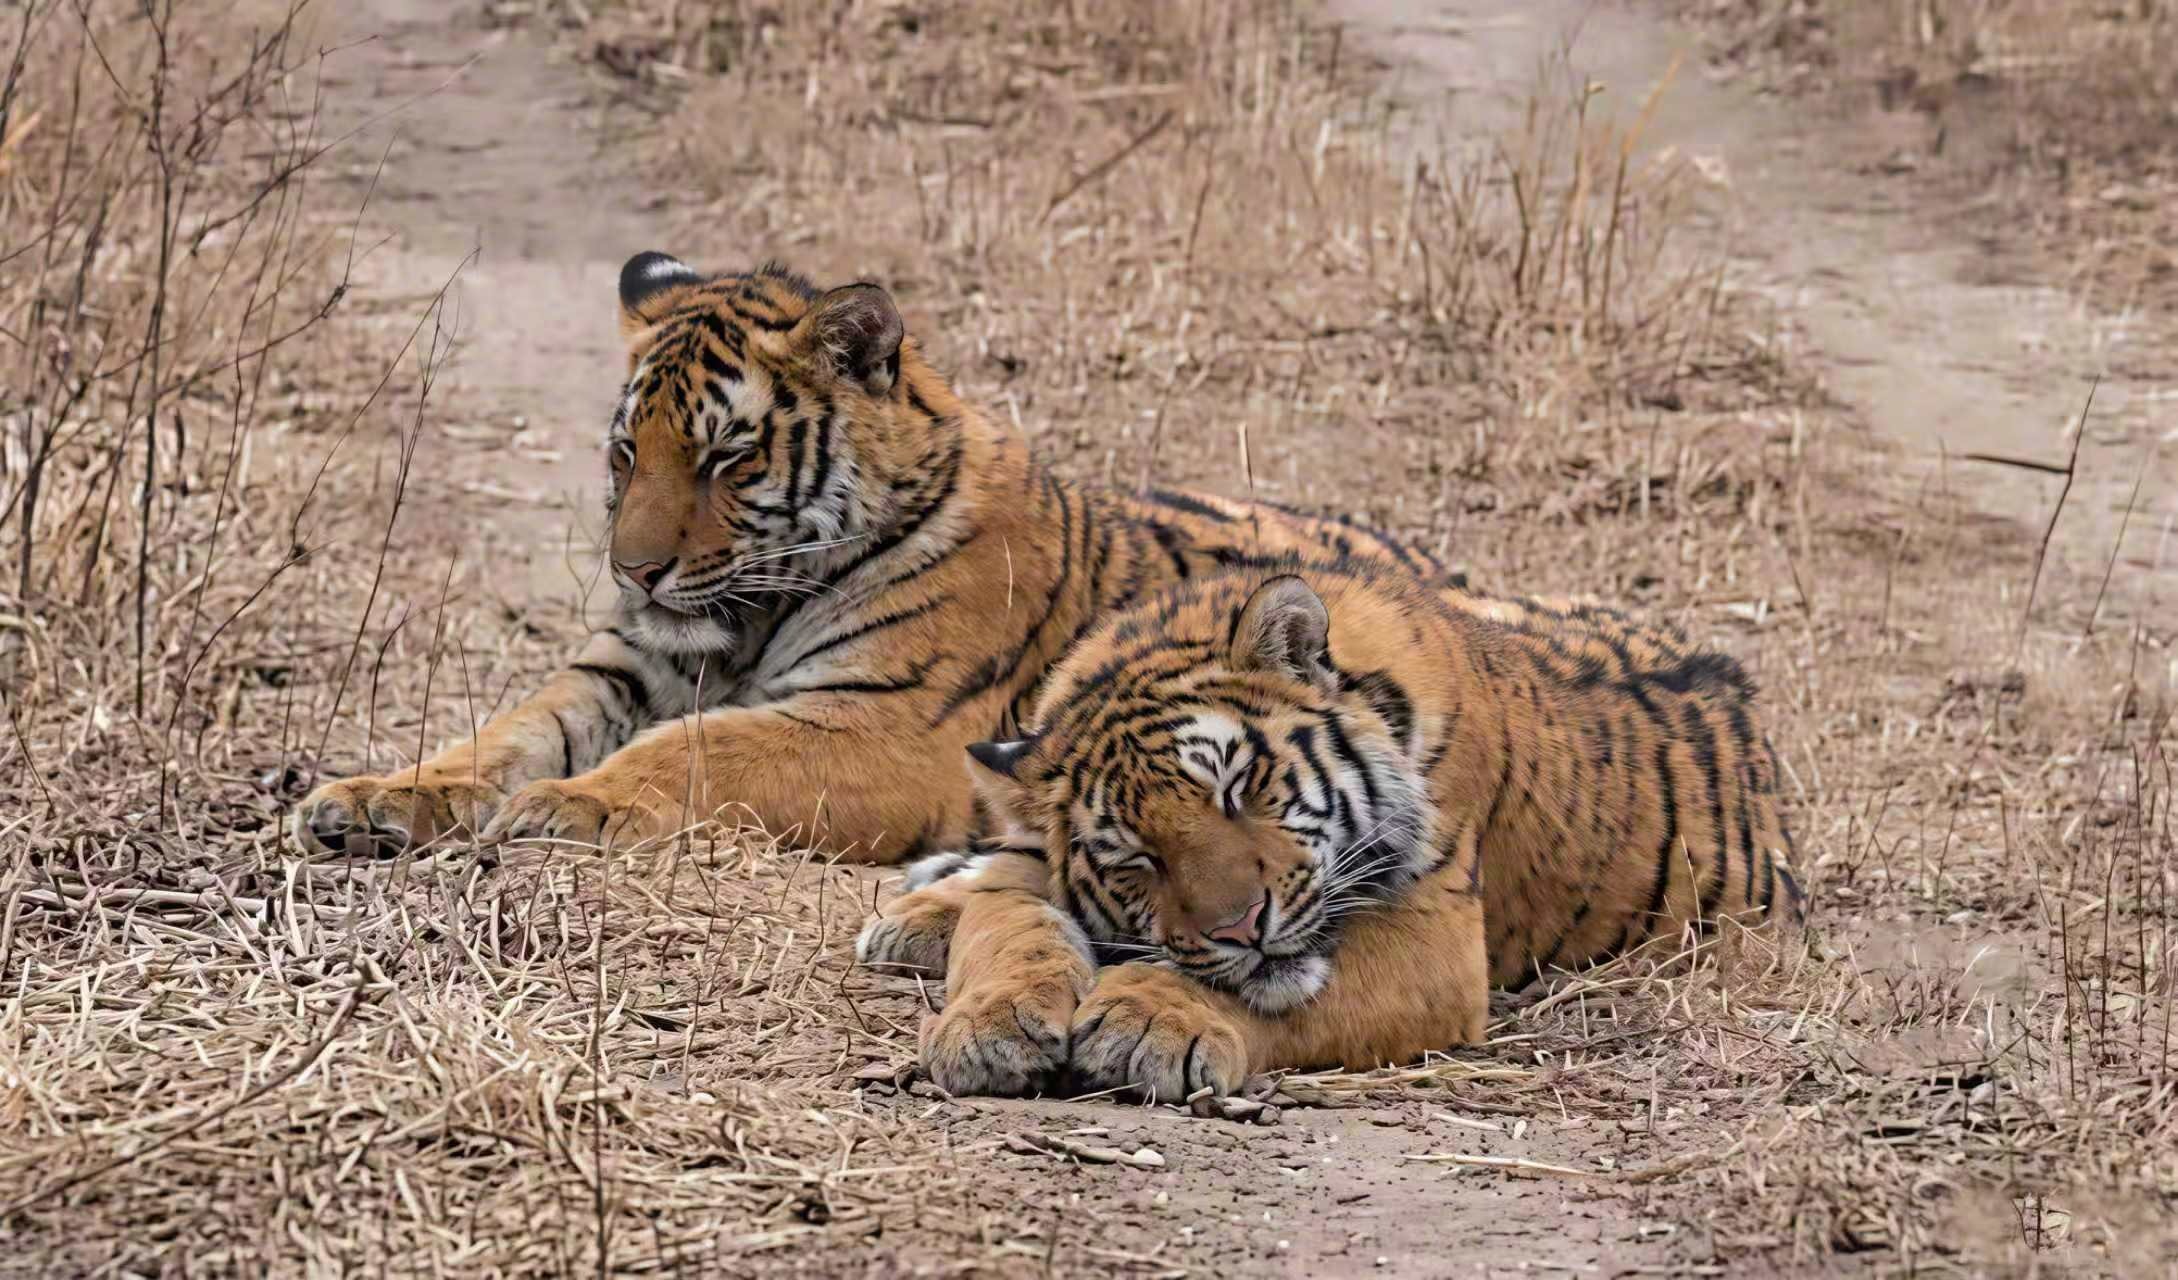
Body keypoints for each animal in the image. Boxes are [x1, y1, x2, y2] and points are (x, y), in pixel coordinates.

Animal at [291, 255, 1442, 864]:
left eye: (726, 457)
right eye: (627, 452)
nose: (636, 573)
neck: (747, 618)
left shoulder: (886, 726)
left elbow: (701, 750)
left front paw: (573, 805)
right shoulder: (622, 669)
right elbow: (508, 733)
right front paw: (374, 795)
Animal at [854, 556, 1806, 1098]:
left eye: (1238, 787)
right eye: (1135, 858)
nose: (1241, 927)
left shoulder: (1434, 942)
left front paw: (1148, 1022)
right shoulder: (1034, 860)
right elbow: (1007, 928)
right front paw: (990, 1025)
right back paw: (915, 912)